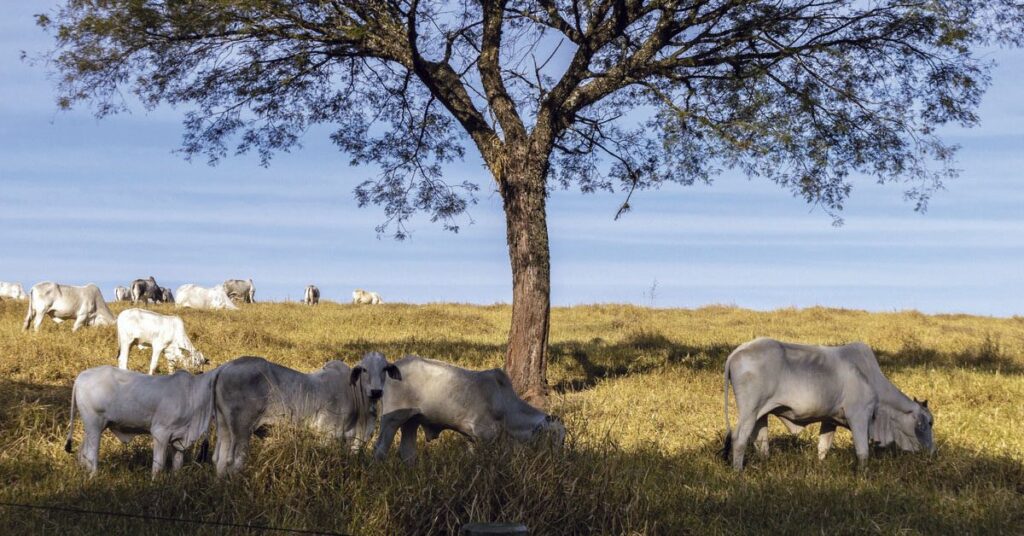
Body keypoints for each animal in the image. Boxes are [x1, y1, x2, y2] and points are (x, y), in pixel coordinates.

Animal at [64, 364, 218, 477]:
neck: (192, 394)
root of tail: (81, 376)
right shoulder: (160, 433)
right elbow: (158, 465)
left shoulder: (179, 439)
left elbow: (177, 464)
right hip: (94, 425)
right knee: (91, 454)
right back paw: (93, 477)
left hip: (94, 427)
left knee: (82, 451)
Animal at [211, 354, 395, 475]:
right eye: (364, 369)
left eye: (385, 369)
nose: (376, 391)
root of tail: (224, 368)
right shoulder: (327, 434)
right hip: (241, 430)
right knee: (234, 462)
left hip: (224, 428)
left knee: (220, 462)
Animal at [374, 354, 569, 463]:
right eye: (554, 438)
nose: (558, 460)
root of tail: (392, 367)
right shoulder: (484, 435)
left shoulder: (472, 439)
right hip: (391, 420)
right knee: (380, 450)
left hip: (411, 422)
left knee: (407, 452)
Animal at [720, 338, 937, 471]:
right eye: (928, 423)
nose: (933, 452)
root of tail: (737, 352)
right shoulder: (859, 416)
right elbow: (863, 452)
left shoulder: (830, 420)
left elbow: (823, 448)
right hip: (749, 410)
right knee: (739, 439)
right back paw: (738, 471)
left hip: (761, 414)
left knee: (761, 442)